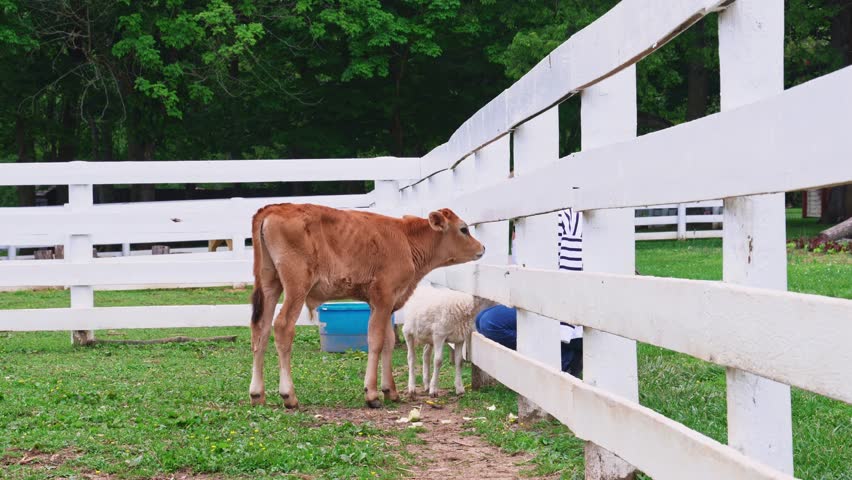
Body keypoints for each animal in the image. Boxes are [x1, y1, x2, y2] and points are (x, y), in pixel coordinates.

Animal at [248, 203, 485, 408]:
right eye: (464, 229)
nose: (482, 247)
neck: (406, 240)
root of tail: (275, 207)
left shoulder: (387, 303)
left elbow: (389, 341)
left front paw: (390, 391)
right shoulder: (383, 297)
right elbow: (376, 340)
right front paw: (372, 394)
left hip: (269, 283)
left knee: (261, 329)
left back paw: (257, 394)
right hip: (296, 284)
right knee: (282, 326)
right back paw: (288, 394)